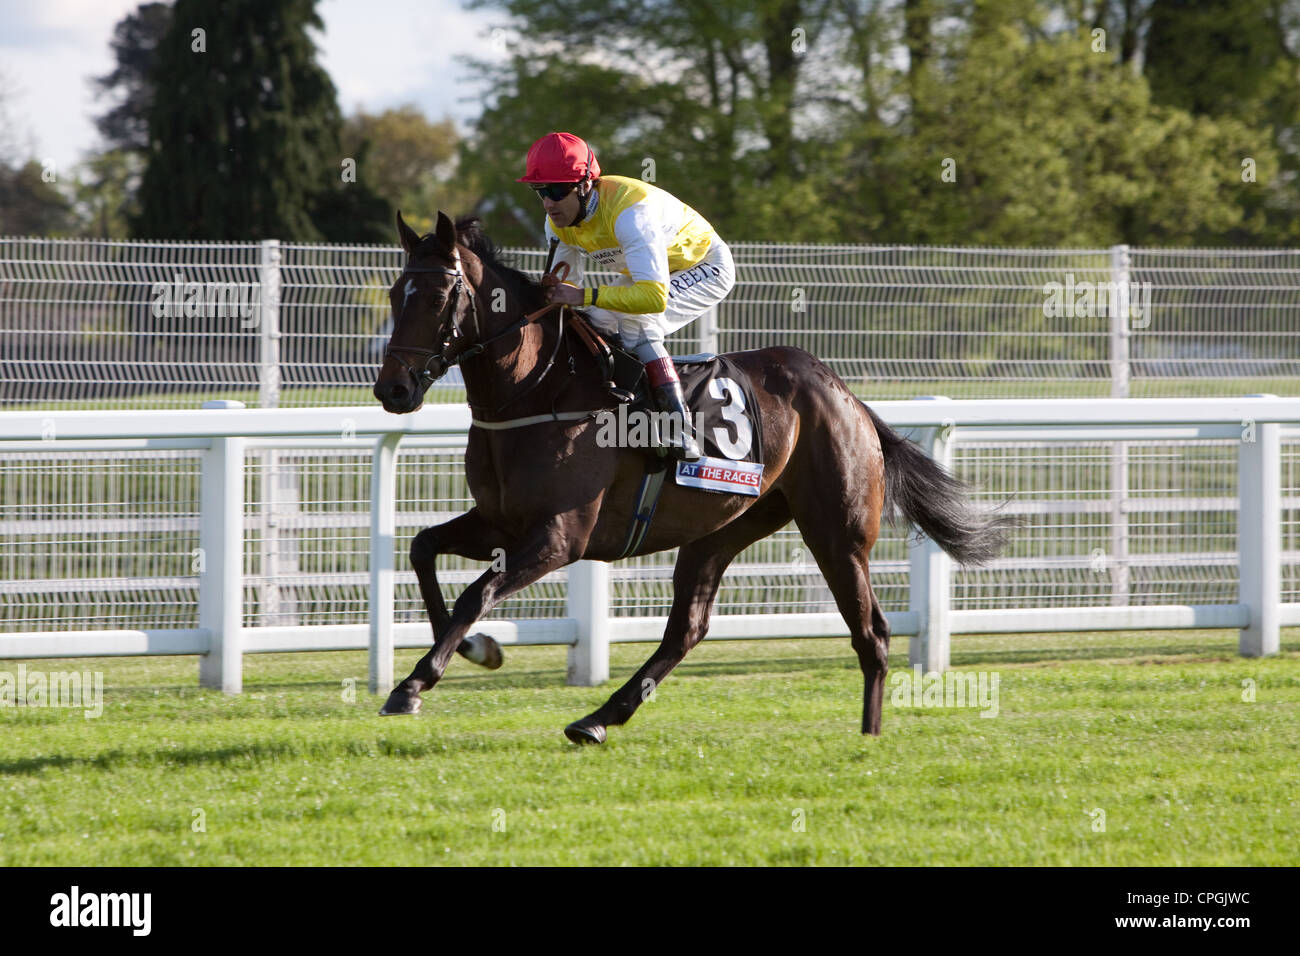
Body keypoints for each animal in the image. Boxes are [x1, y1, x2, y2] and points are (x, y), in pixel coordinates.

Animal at [372, 210, 1010, 743]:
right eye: (395, 293)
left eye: (437, 295)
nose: (392, 390)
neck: (538, 389)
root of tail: (845, 393)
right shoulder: (500, 523)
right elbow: (423, 550)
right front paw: (473, 650)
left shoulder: (558, 538)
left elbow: (475, 593)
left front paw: (413, 685)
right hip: (721, 529)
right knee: (688, 628)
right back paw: (598, 719)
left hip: (837, 531)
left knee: (870, 631)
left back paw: (869, 738)